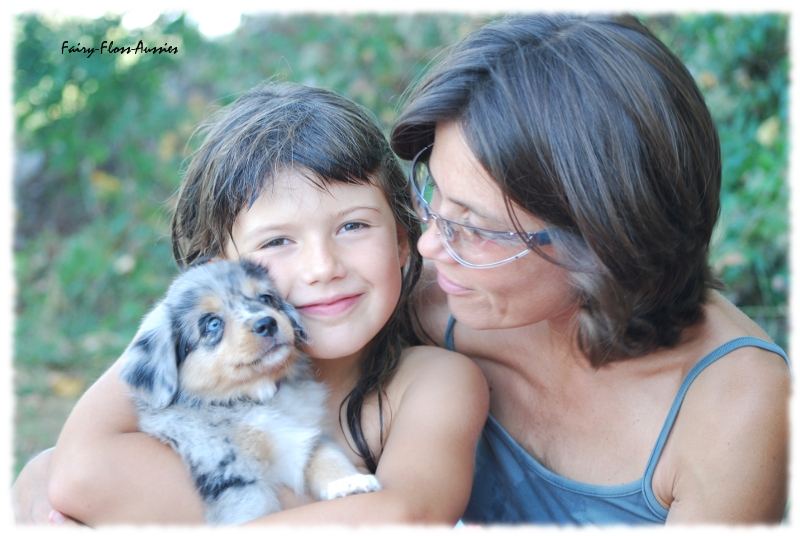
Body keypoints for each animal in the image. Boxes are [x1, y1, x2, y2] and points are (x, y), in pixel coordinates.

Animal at [119, 260, 382, 524]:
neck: (257, 398)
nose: (267, 323)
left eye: (266, 298)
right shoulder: (235, 477)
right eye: (212, 323)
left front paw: (349, 482)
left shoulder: (311, 438)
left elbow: (328, 456)